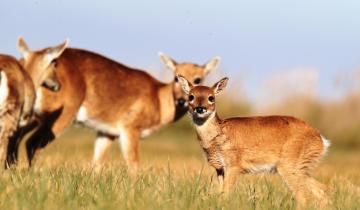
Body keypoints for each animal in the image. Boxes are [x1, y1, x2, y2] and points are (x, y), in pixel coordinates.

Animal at [8, 37, 221, 172]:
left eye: (199, 78)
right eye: (176, 77)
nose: (182, 100)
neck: (158, 100)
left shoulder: (106, 131)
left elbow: (97, 164)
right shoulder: (130, 127)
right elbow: (133, 165)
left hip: (34, 113)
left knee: (16, 135)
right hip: (61, 113)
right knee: (31, 142)